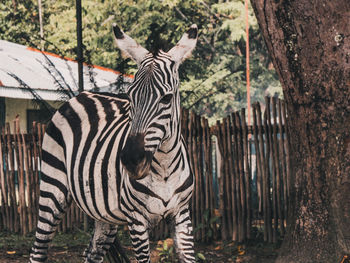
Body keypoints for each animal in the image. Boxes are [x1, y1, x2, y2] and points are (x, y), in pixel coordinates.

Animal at [28, 23, 198, 262]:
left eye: (166, 98)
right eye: (130, 96)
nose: (131, 160)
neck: (164, 168)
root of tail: (82, 95)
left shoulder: (182, 214)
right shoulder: (136, 219)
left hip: (104, 214)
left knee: (92, 253)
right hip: (52, 188)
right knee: (38, 250)